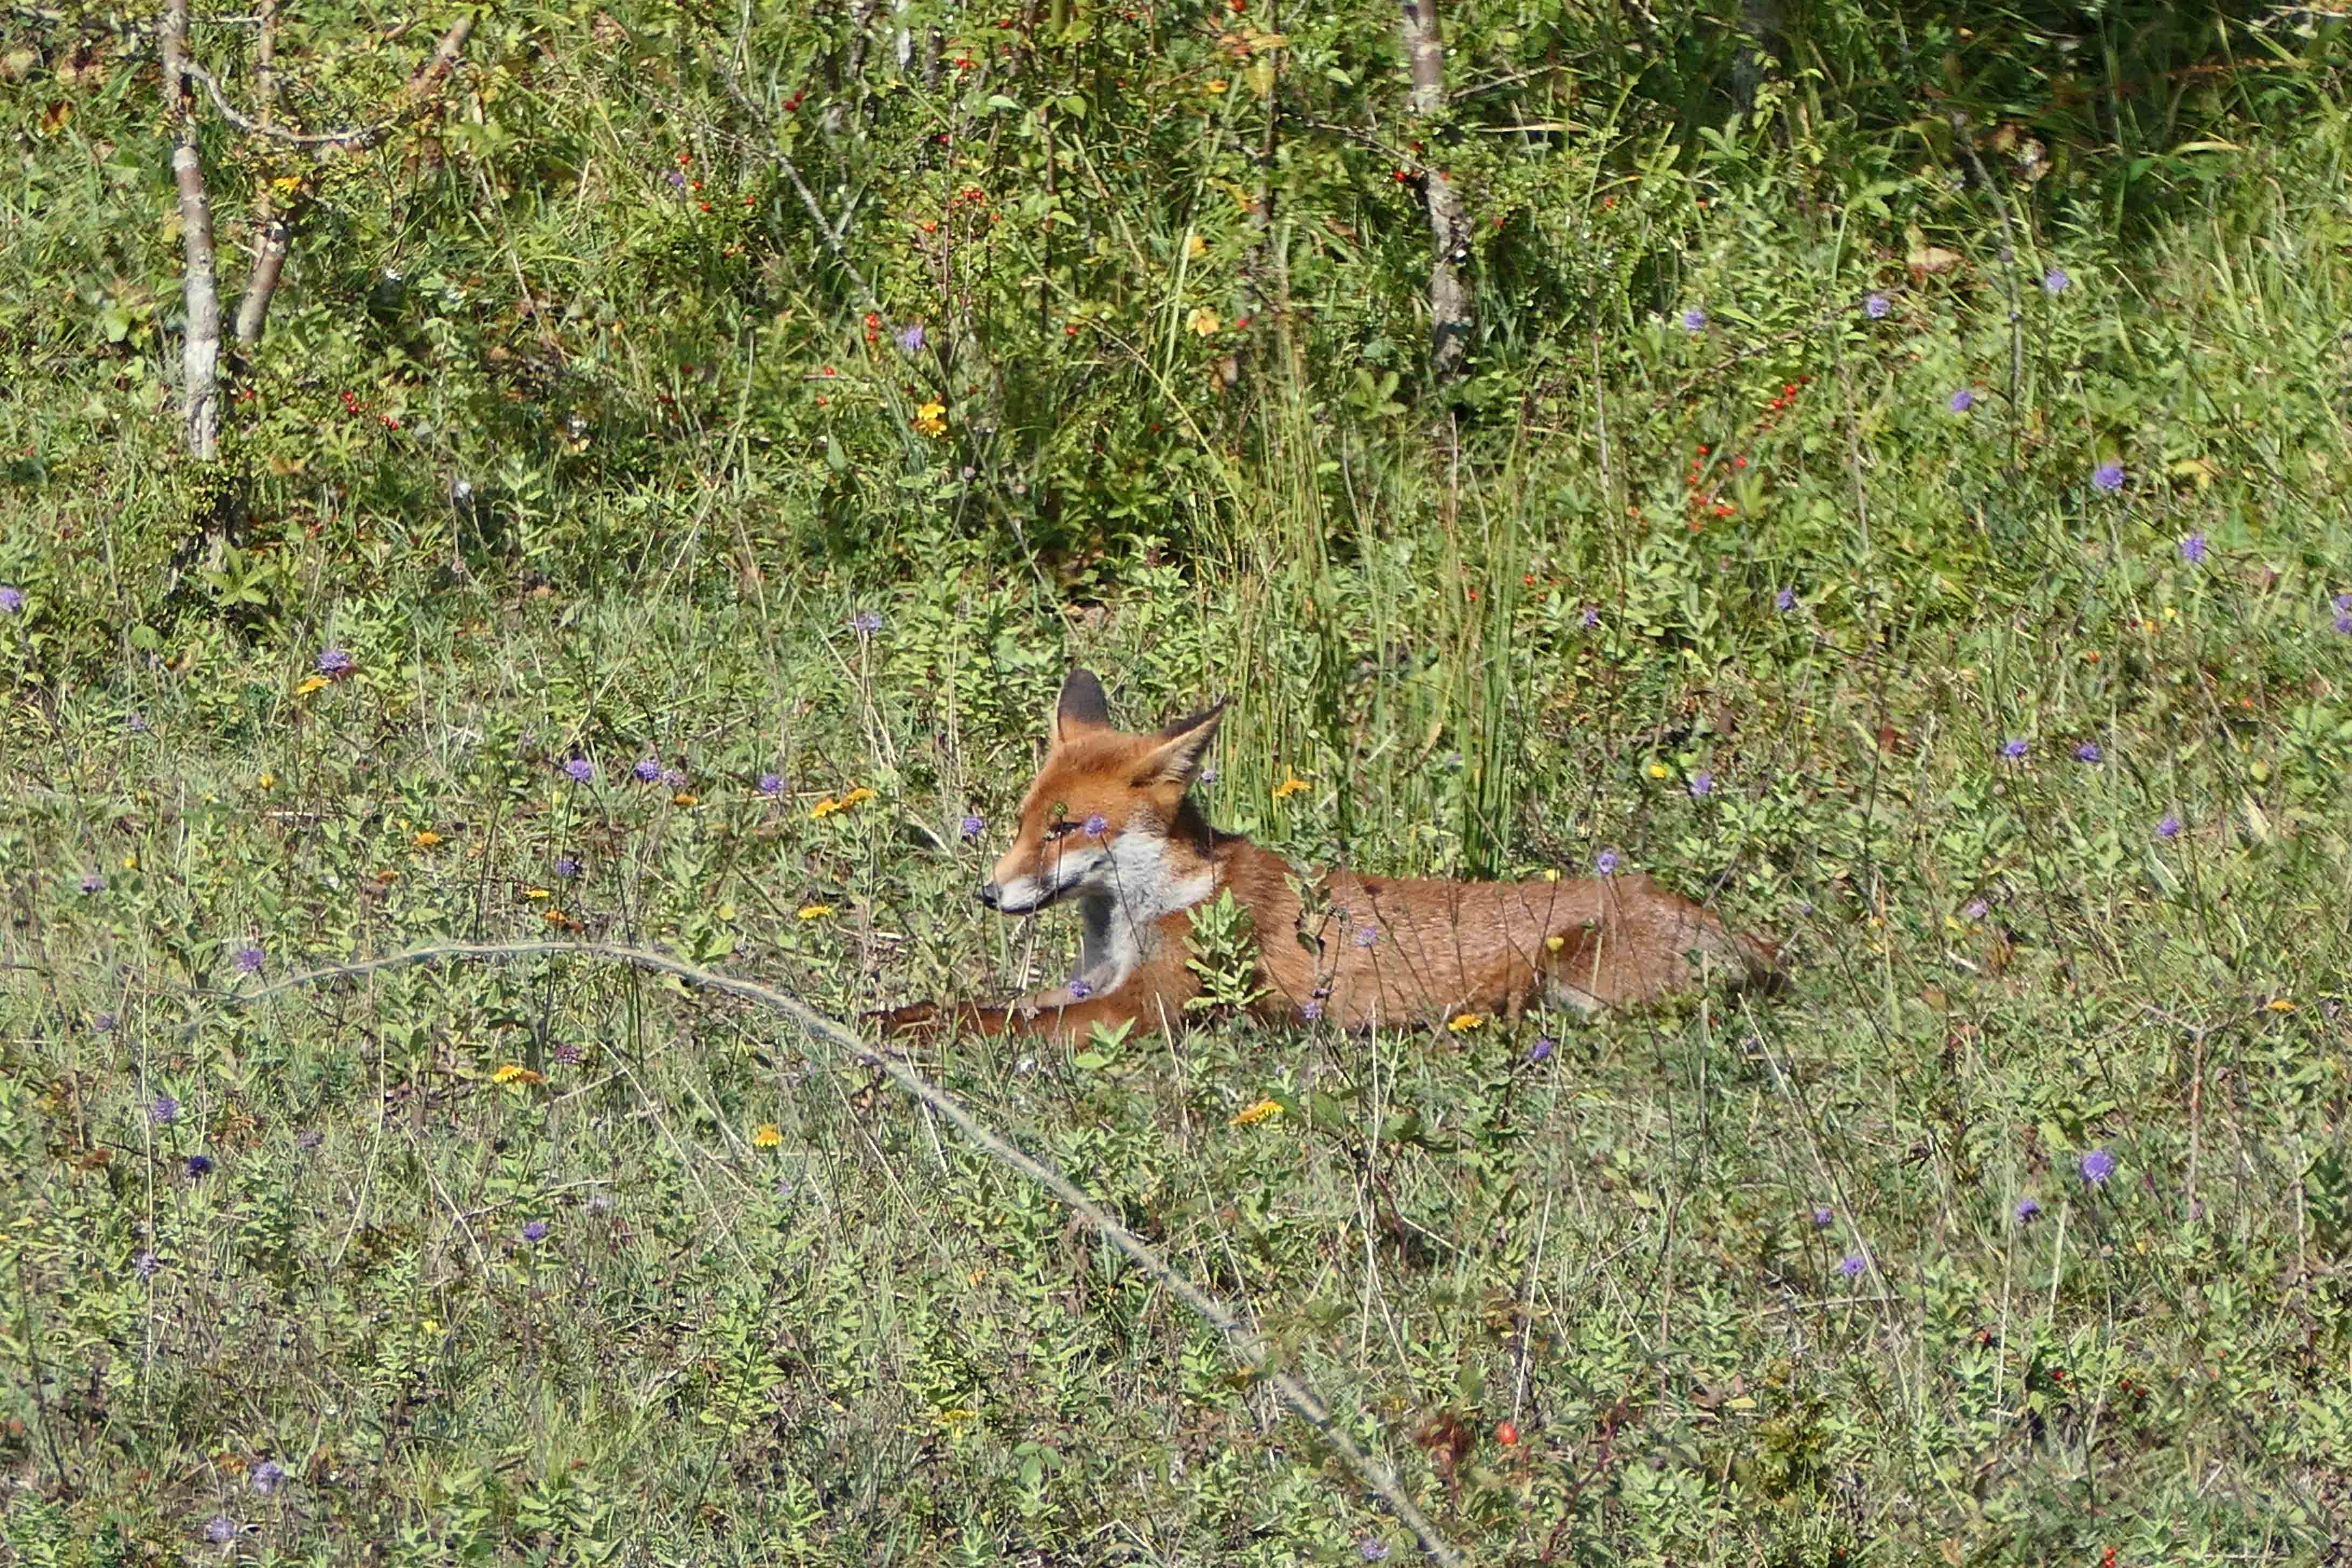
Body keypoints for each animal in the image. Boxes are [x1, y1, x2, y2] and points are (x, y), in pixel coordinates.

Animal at [873, 668, 1779, 1045]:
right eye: (1026, 822)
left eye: (1066, 829)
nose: (989, 895)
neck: (1151, 907)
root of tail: (1752, 941)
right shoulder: (1091, 984)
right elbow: (974, 1004)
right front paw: (889, 1017)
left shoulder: (1140, 1010)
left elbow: (993, 1022)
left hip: (1574, 984)